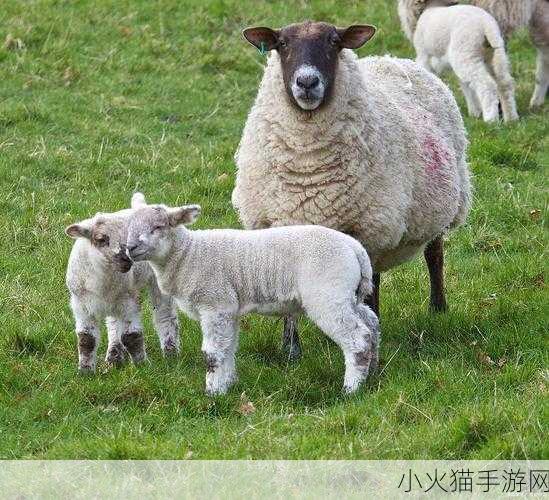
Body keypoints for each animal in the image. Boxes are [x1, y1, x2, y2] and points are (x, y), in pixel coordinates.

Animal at [65, 193, 179, 374]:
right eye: (100, 239)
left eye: (129, 236)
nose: (126, 258)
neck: (103, 281)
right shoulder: (81, 303)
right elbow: (86, 339)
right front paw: (85, 372)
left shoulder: (128, 299)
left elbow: (131, 336)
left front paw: (142, 366)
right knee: (113, 323)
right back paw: (114, 355)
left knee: (165, 314)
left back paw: (171, 353)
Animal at [126, 198, 378, 394]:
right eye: (129, 226)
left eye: (158, 226)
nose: (130, 247)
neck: (188, 254)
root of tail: (355, 249)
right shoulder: (228, 309)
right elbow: (228, 348)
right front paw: (227, 385)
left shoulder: (215, 304)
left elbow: (213, 353)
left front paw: (212, 392)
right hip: (348, 294)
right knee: (371, 324)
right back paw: (372, 371)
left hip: (327, 292)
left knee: (357, 338)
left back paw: (351, 388)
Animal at [231, 21, 470, 360]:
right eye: (282, 44)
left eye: (334, 41)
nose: (307, 81)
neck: (308, 167)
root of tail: (392, 59)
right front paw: (291, 351)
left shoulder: (366, 228)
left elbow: (372, 290)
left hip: (432, 208)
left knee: (432, 257)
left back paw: (437, 309)